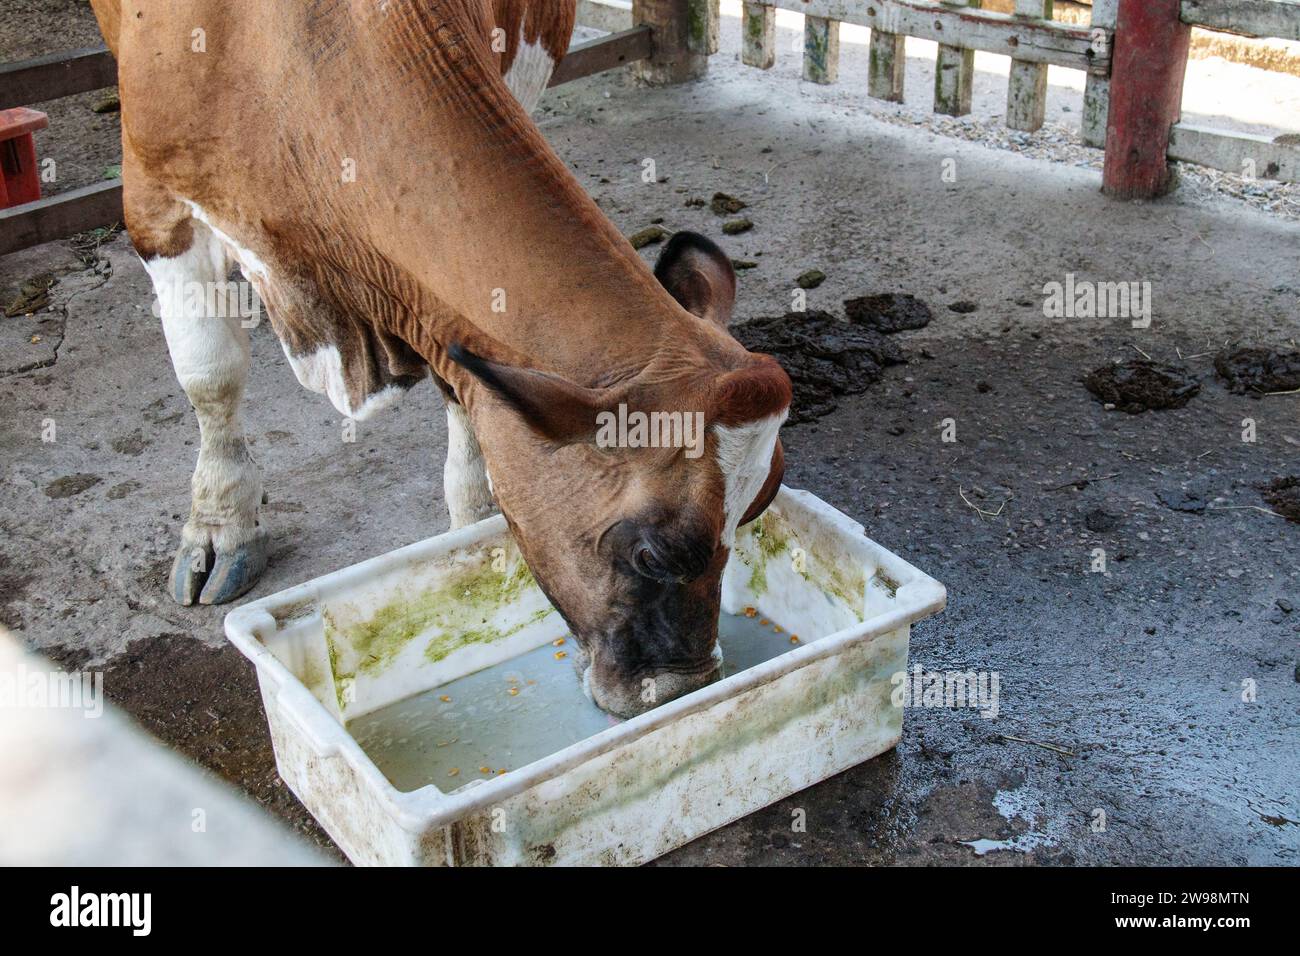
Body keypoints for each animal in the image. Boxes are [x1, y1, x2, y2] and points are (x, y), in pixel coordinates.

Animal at [90, 0, 791, 718]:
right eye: (651, 555)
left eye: (758, 507)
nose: (683, 686)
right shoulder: (152, 198)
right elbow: (211, 374)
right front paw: (219, 525)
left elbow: (466, 391)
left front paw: (468, 529)